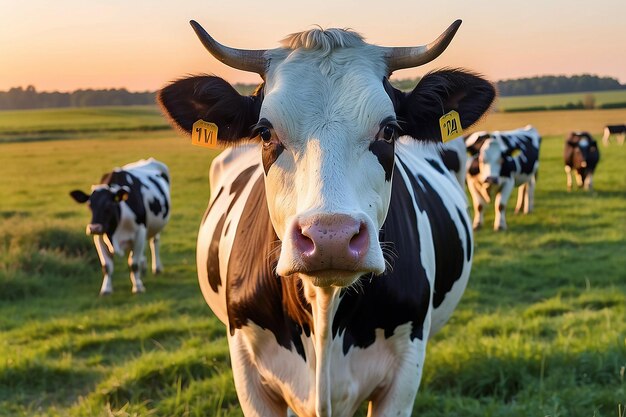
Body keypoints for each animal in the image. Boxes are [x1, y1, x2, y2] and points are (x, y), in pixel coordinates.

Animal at [70, 158, 171, 294]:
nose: (94, 228)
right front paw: (106, 289)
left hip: (154, 227)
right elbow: (107, 266)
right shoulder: (99, 236)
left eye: (109, 205)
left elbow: (133, 264)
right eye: (89, 205)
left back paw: (157, 268)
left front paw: (137, 287)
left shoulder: (140, 231)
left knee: (154, 242)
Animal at [156, 20, 492, 416]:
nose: (331, 238)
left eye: (389, 130)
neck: (325, 308)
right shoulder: (248, 372)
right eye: (265, 132)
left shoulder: (404, 372)